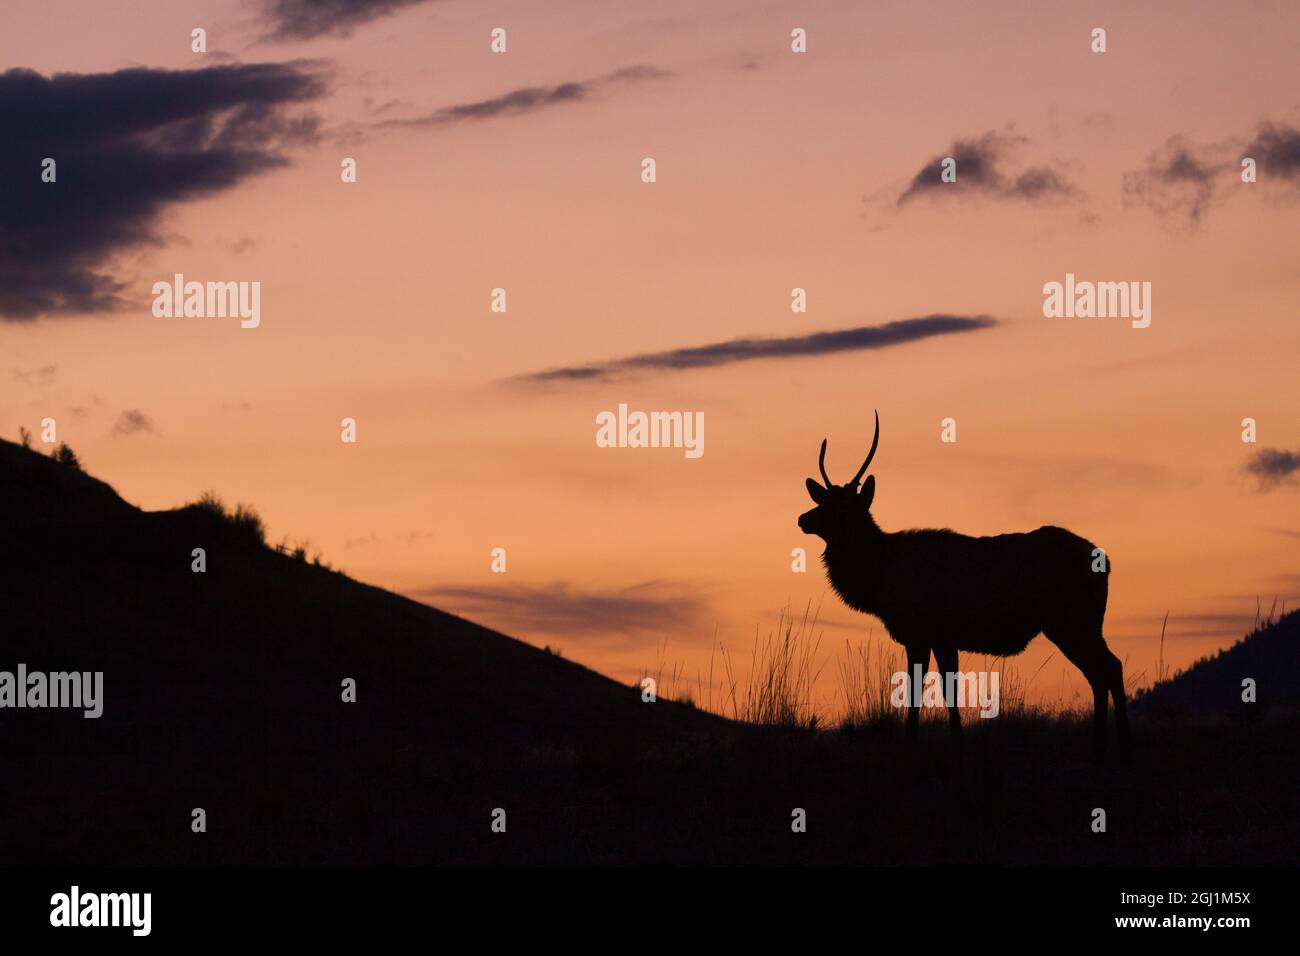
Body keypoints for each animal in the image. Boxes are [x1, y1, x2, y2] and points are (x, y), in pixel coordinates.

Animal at [798, 412, 1131, 760]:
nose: (803, 518)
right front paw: (954, 746)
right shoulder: (941, 637)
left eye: (844, 508)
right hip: (1081, 624)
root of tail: (1105, 561)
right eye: (824, 501)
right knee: (1102, 672)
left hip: (1072, 621)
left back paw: (1121, 749)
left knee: (1109, 667)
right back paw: (1100, 749)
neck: (878, 578)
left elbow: (924, 690)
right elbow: (944, 689)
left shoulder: (922, 632)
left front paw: (921, 746)